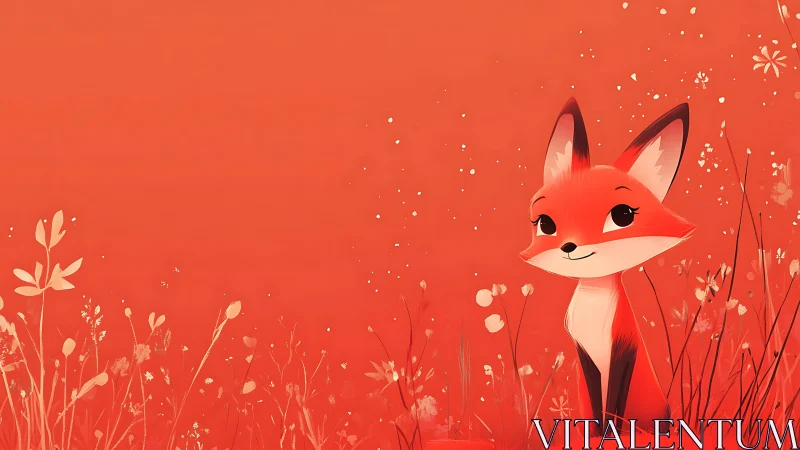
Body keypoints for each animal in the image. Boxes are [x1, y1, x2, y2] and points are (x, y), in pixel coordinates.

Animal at [520, 98, 696, 435]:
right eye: (546, 224)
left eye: (622, 216)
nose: (569, 246)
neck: (594, 304)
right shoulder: (585, 352)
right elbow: (596, 402)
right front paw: (595, 431)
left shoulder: (622, 350)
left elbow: (612, 403)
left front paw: (608, 433)